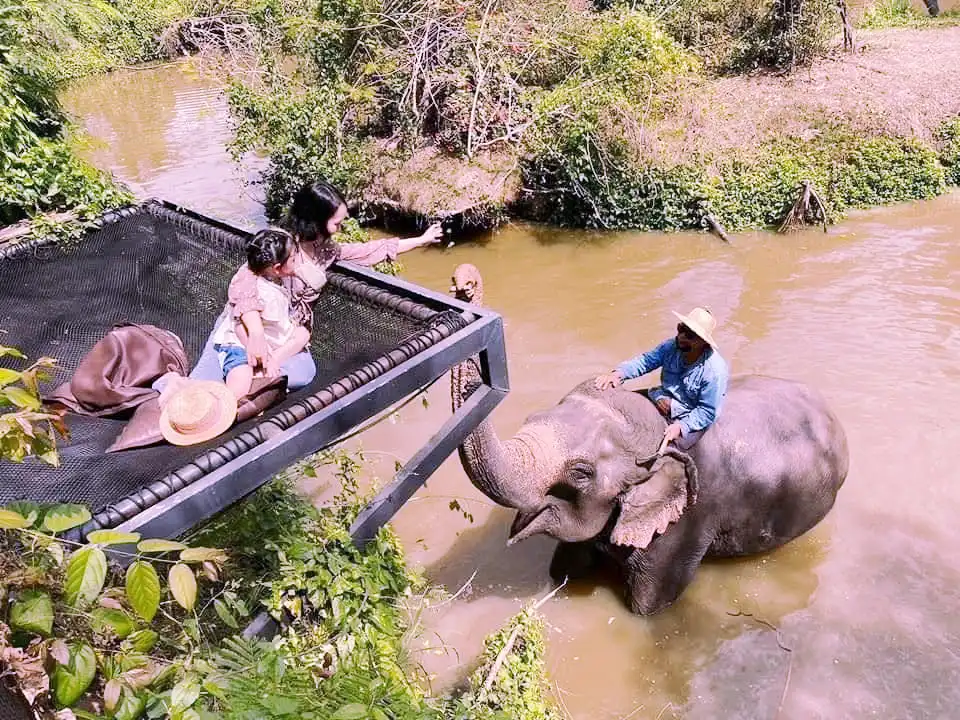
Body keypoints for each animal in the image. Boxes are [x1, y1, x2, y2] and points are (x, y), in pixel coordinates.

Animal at [449, 263, 849, 615]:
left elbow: (646, 606)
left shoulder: (687, 519)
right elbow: (564, 568)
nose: (464, 281)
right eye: (531, 419)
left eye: (581, 472)